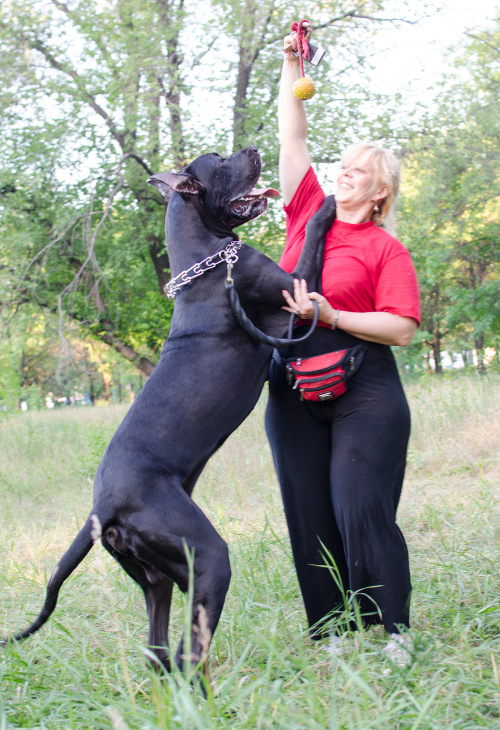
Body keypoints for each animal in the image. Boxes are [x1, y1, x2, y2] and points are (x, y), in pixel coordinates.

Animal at [3, 145, 336, 672]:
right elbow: (311, 243)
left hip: (157, 578)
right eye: (219, 161)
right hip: (208, 558)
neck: (206, 258)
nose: (252, 149)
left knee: (159, 650)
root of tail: (102, 508)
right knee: (186, 653)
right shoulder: (295, 294)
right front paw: (330, 203)